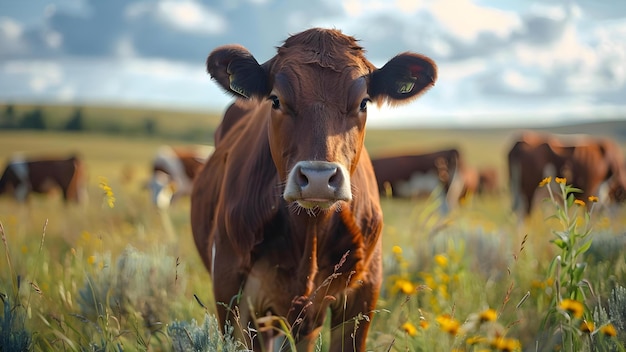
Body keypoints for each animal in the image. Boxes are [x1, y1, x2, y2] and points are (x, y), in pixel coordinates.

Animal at [190, 28, 434, 352]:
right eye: (276, 100)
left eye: (364, 102)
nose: (318, 177)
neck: (311, 231)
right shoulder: (231, 288)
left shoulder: (364, 291)